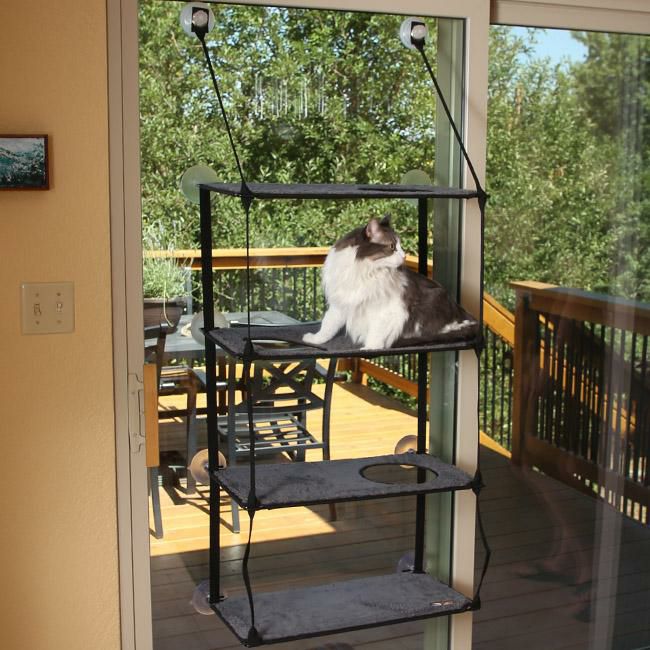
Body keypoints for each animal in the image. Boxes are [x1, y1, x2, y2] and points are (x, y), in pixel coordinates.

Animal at [303, 216, 476, 350]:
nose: (404, 256)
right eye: (392, 247)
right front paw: (315, 339)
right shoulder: (341, 303)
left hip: (432, 302)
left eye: (400, 246)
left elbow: (376, 333)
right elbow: (328, 325)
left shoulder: (386, 309)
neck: (366, 271)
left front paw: (370, 348)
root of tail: (462, 311)